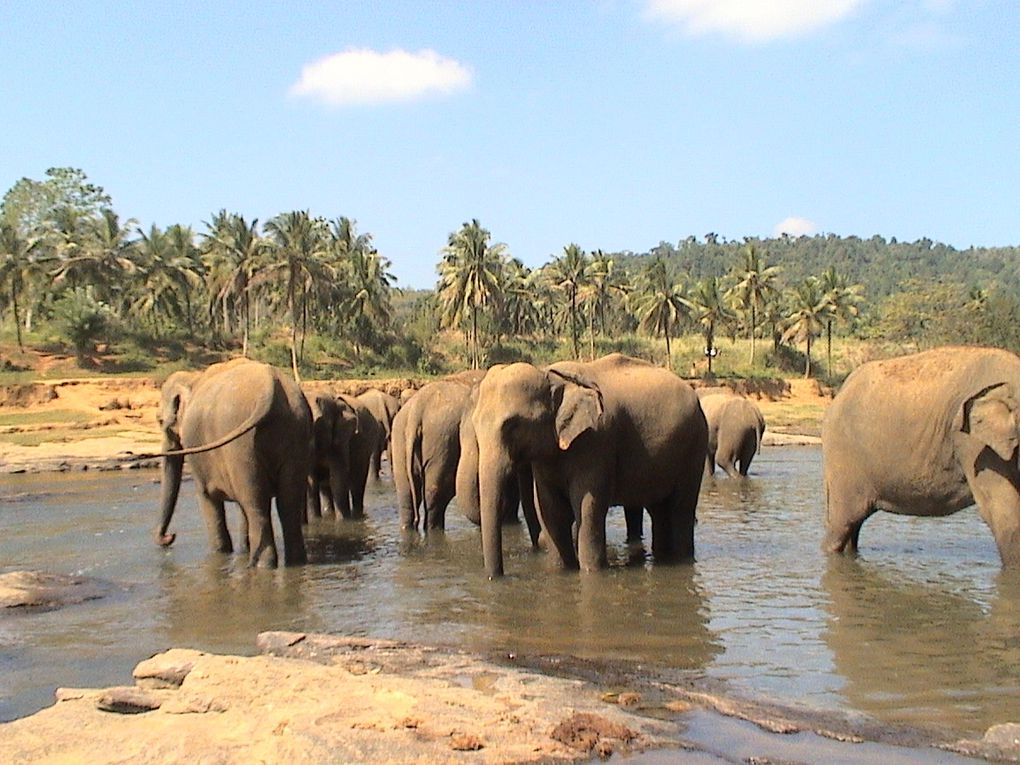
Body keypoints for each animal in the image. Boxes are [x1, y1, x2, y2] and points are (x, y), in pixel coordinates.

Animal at [153, 359, 308, 571]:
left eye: (160, 421)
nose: (170, 537)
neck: (193, 378)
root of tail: (271, 386)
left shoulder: (198, 453)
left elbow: (207, 498)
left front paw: (220, 554)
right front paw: (242, 550)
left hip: (241, 446)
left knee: (256, 505)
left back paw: (260, 566)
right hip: (295, 432)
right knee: (287, 503)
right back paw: (295, 562)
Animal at [471, 352, 705, 575]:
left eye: (513, 425)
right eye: (475, 424)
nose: (497, 576)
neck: (551, 375)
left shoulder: (596, 442)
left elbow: (587, 506)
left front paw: (591, 571)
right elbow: (549, 509)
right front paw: (561, 569)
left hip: (693, 449)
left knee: (681, 508)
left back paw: (681, 558)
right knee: (659, 510)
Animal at [820, 346, 1020, 571]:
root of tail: (841, 391)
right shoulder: (972, 443)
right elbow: (1001, 507)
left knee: (853, 526)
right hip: (842, 457)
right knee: (843, 523)